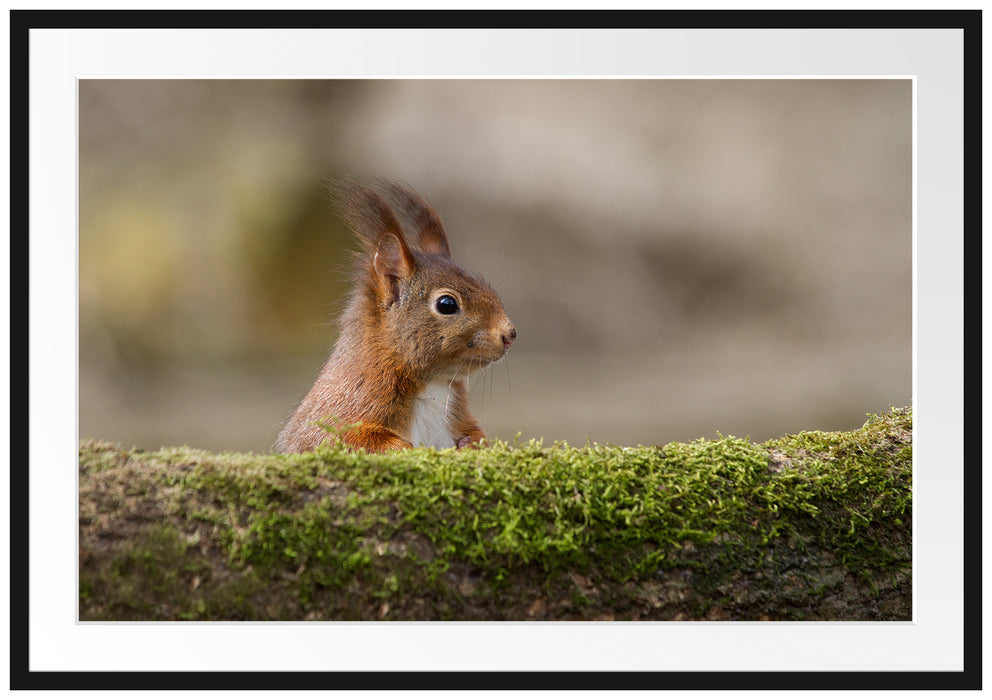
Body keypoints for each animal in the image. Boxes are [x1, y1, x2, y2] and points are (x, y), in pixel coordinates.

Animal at [275, 179, 516, 453]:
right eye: (446, 304)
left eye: (487, 287)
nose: (510, 334)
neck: (433, 385)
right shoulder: (342, 410)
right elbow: (346, 439)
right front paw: (404, 447)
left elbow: (476, 433)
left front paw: (472, 443)